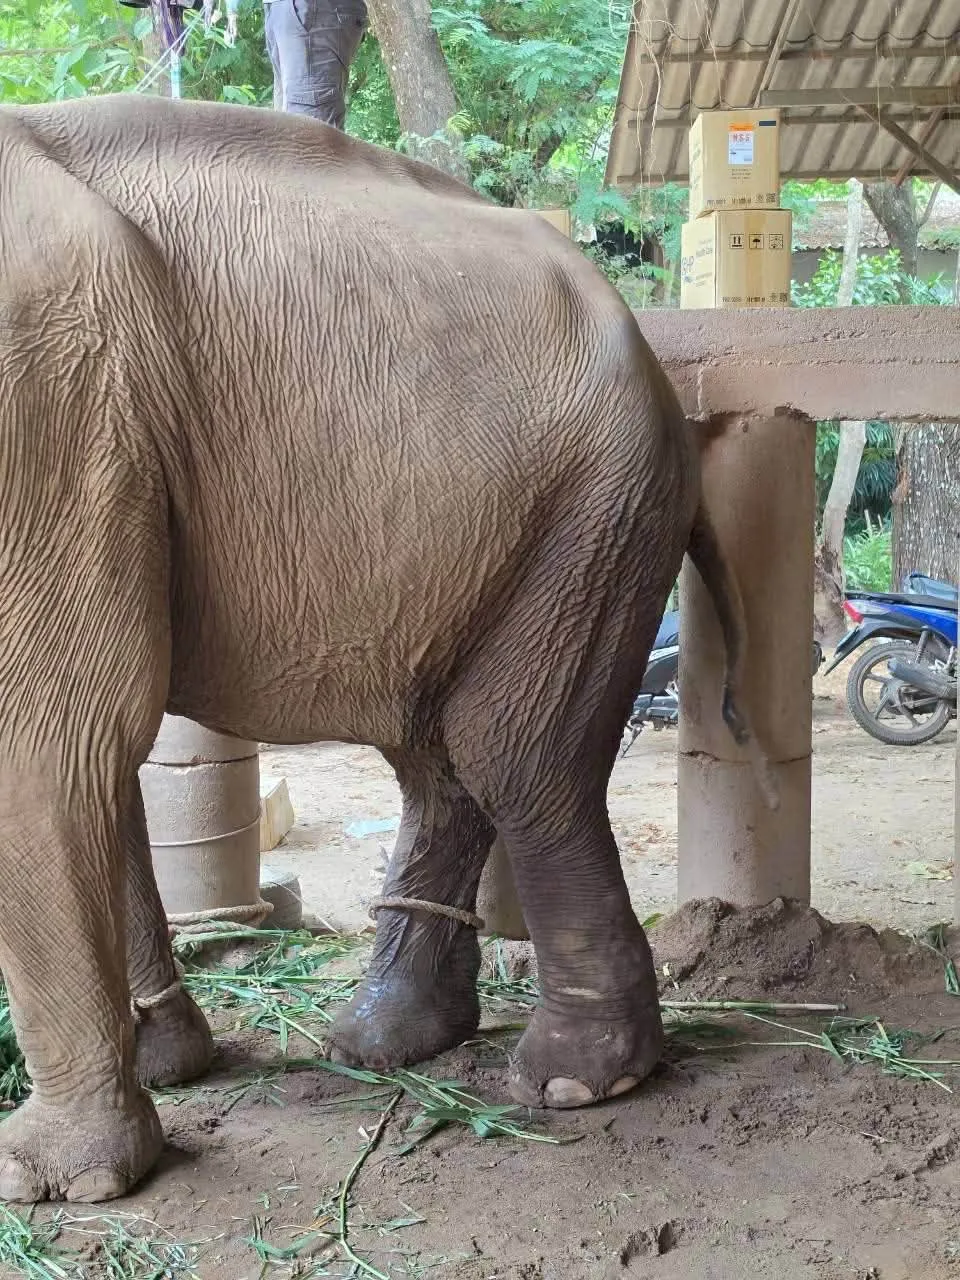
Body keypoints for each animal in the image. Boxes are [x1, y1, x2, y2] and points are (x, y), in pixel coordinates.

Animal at [0, 93, 764, 1203]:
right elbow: (98, 755)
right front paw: (165, 1064)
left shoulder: (51, 403)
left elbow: (55, 743)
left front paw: (54, 1182)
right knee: (440, 757)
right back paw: (384, 1041)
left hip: (600, 506)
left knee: (512, 757)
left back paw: (574, 1081)